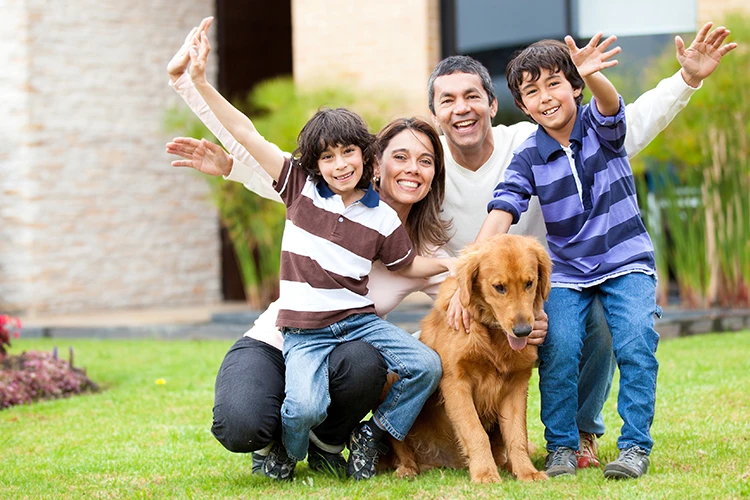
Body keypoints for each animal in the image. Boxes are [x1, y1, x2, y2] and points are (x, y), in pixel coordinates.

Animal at [382, 234, 552, 484]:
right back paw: (407, 469)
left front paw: (526, 471)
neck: (491, 332)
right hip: (392, 380)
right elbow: (475, 432)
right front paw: (484, 473)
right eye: (499, 287)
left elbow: (517, 435)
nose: (523, 331)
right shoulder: (456, 383)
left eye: (529, 283)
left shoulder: (517, 384)